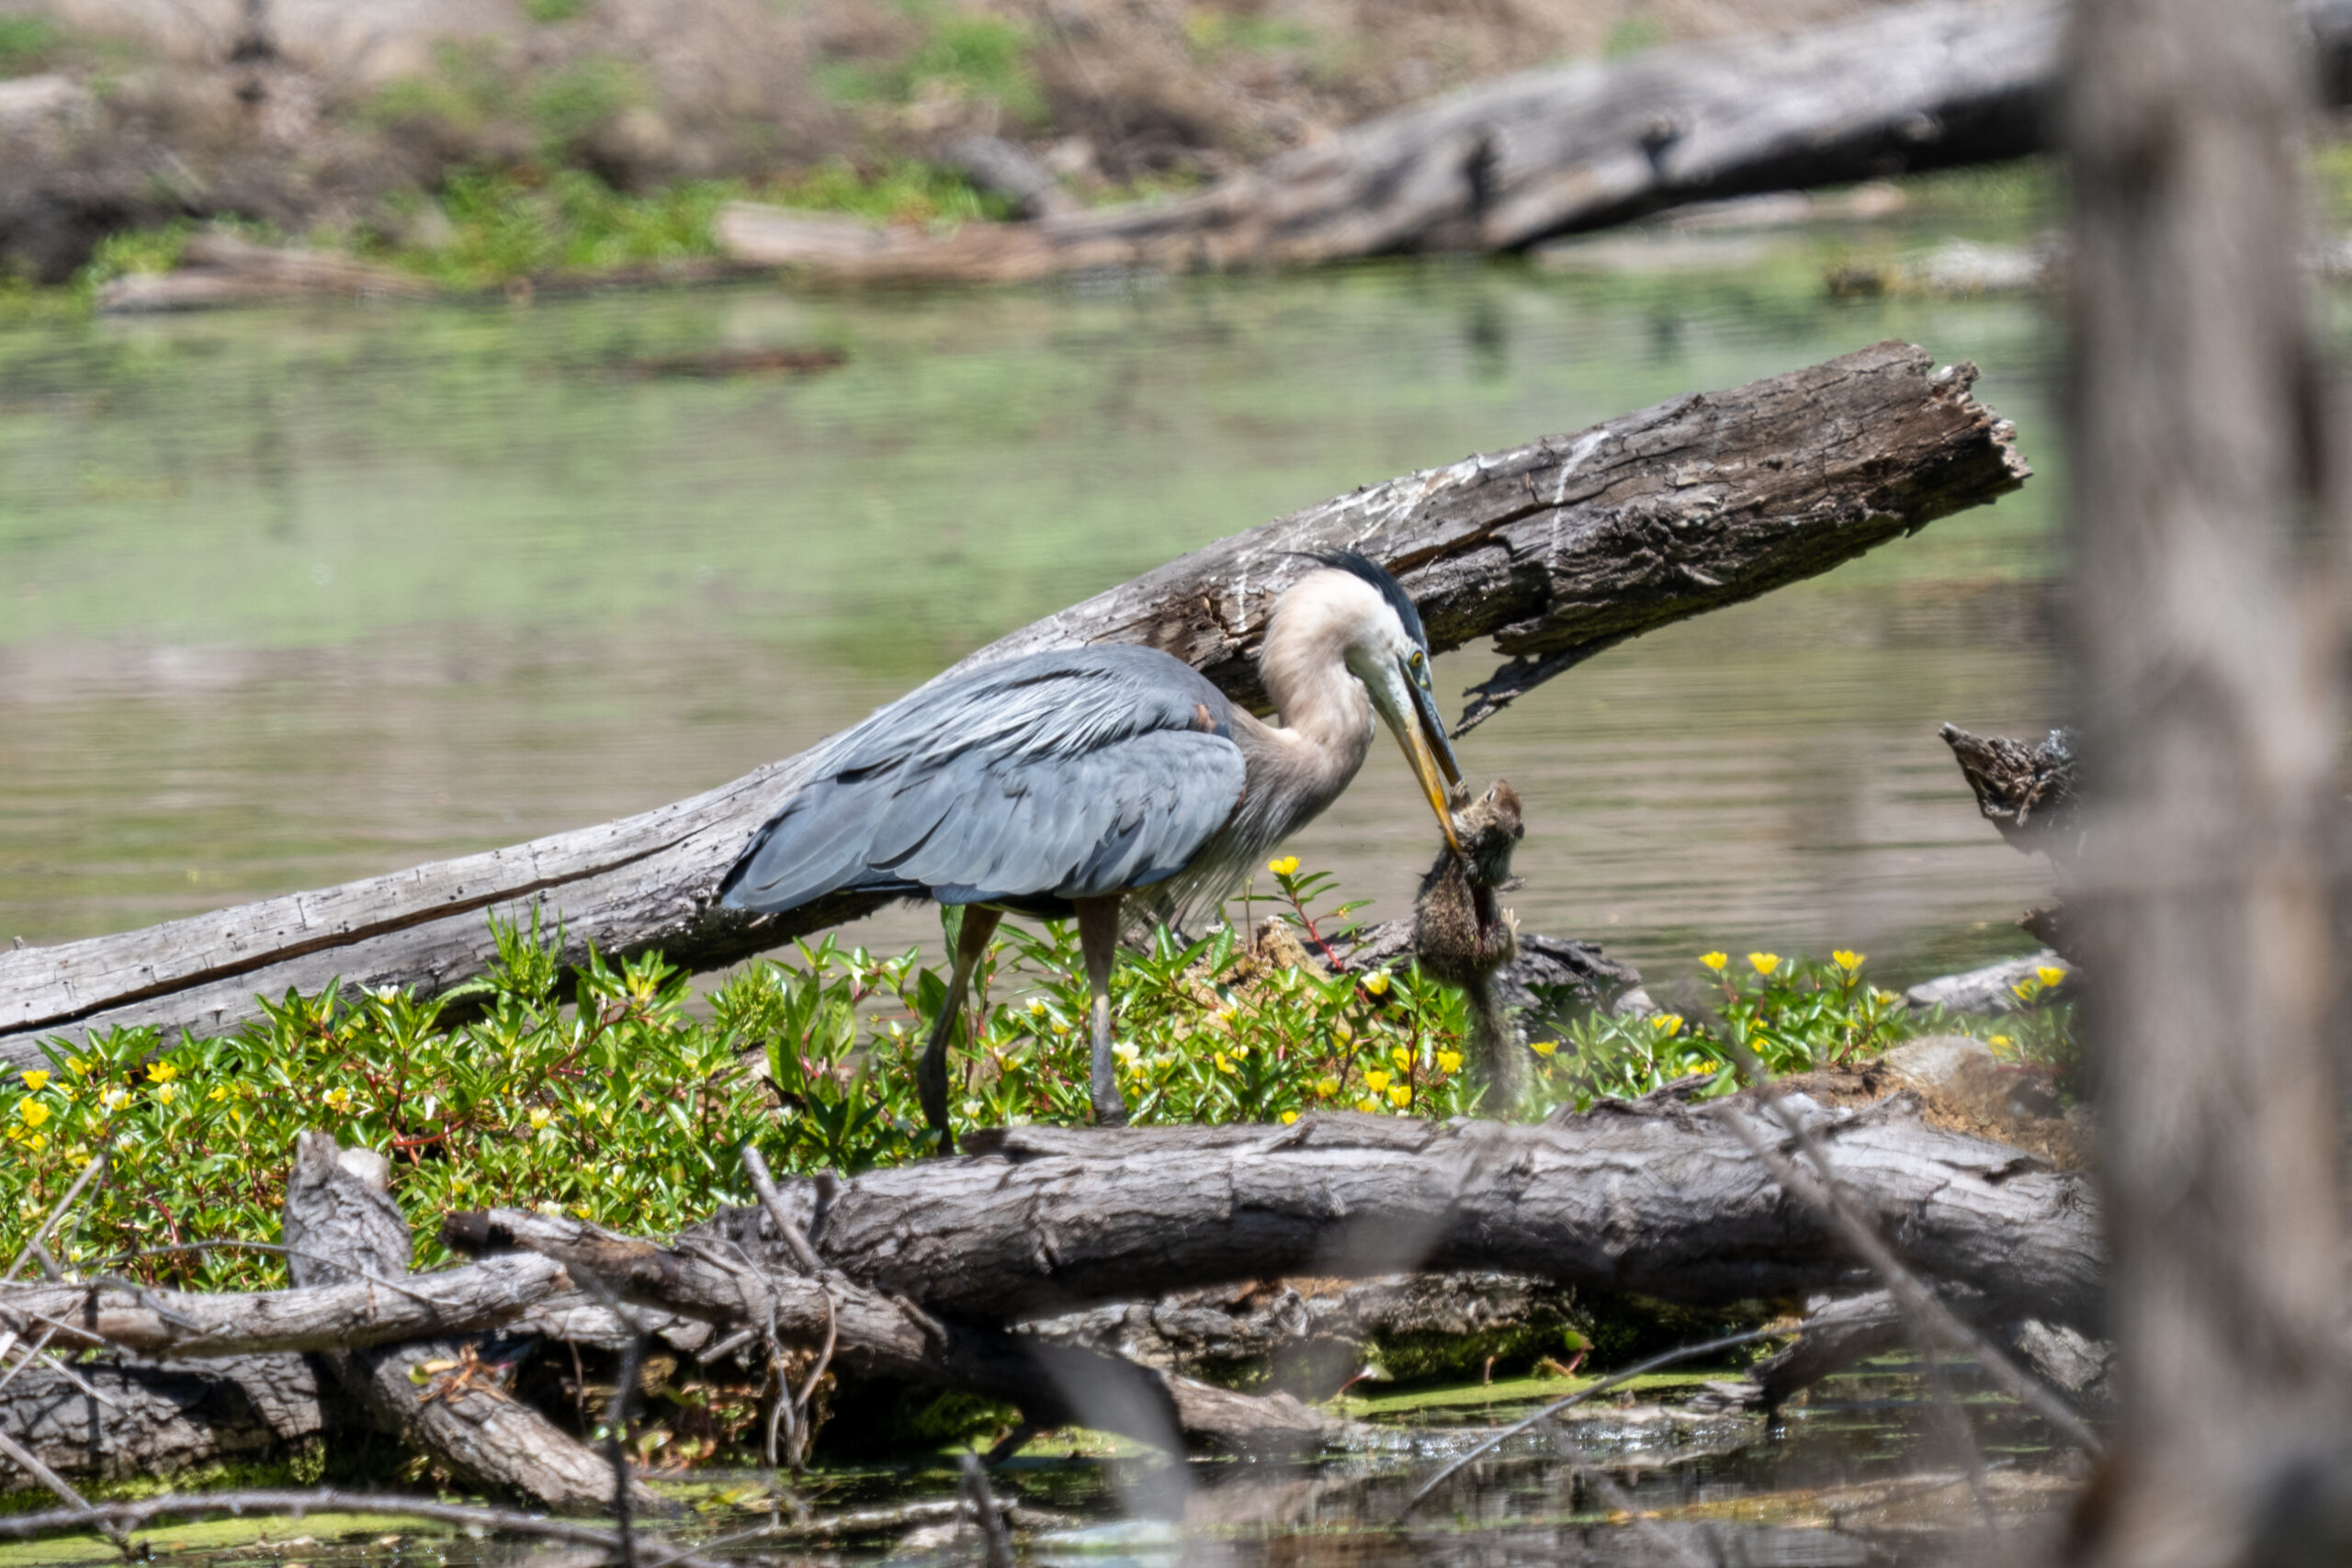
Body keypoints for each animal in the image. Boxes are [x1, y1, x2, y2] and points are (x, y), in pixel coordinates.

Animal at [1412, 780, 1525, 1113]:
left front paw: (1458, 797)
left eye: (1489, 796)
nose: (1501, 781)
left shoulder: (1463, 833)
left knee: (1508, 948)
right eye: (1499, 794)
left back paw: (1511, 925)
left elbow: (1452, 821)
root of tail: (1471, 977)